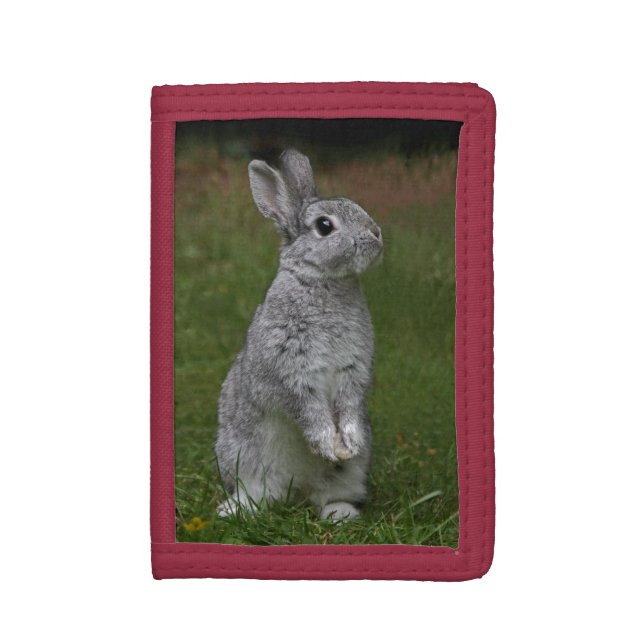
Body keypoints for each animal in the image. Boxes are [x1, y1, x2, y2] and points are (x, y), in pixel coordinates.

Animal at [215, 149, 383, 522]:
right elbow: (309, 409)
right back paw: (235, 510)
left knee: (330, 494)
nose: (376, 233)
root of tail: (296, 489)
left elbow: (349, 405)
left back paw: (339, 513)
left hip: (348, 475)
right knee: (258, 492)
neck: (324, 281)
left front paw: (348, 444)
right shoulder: (291, 371)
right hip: (242, 455)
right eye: (324, 226)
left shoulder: (353, 371)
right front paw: (328, 445)